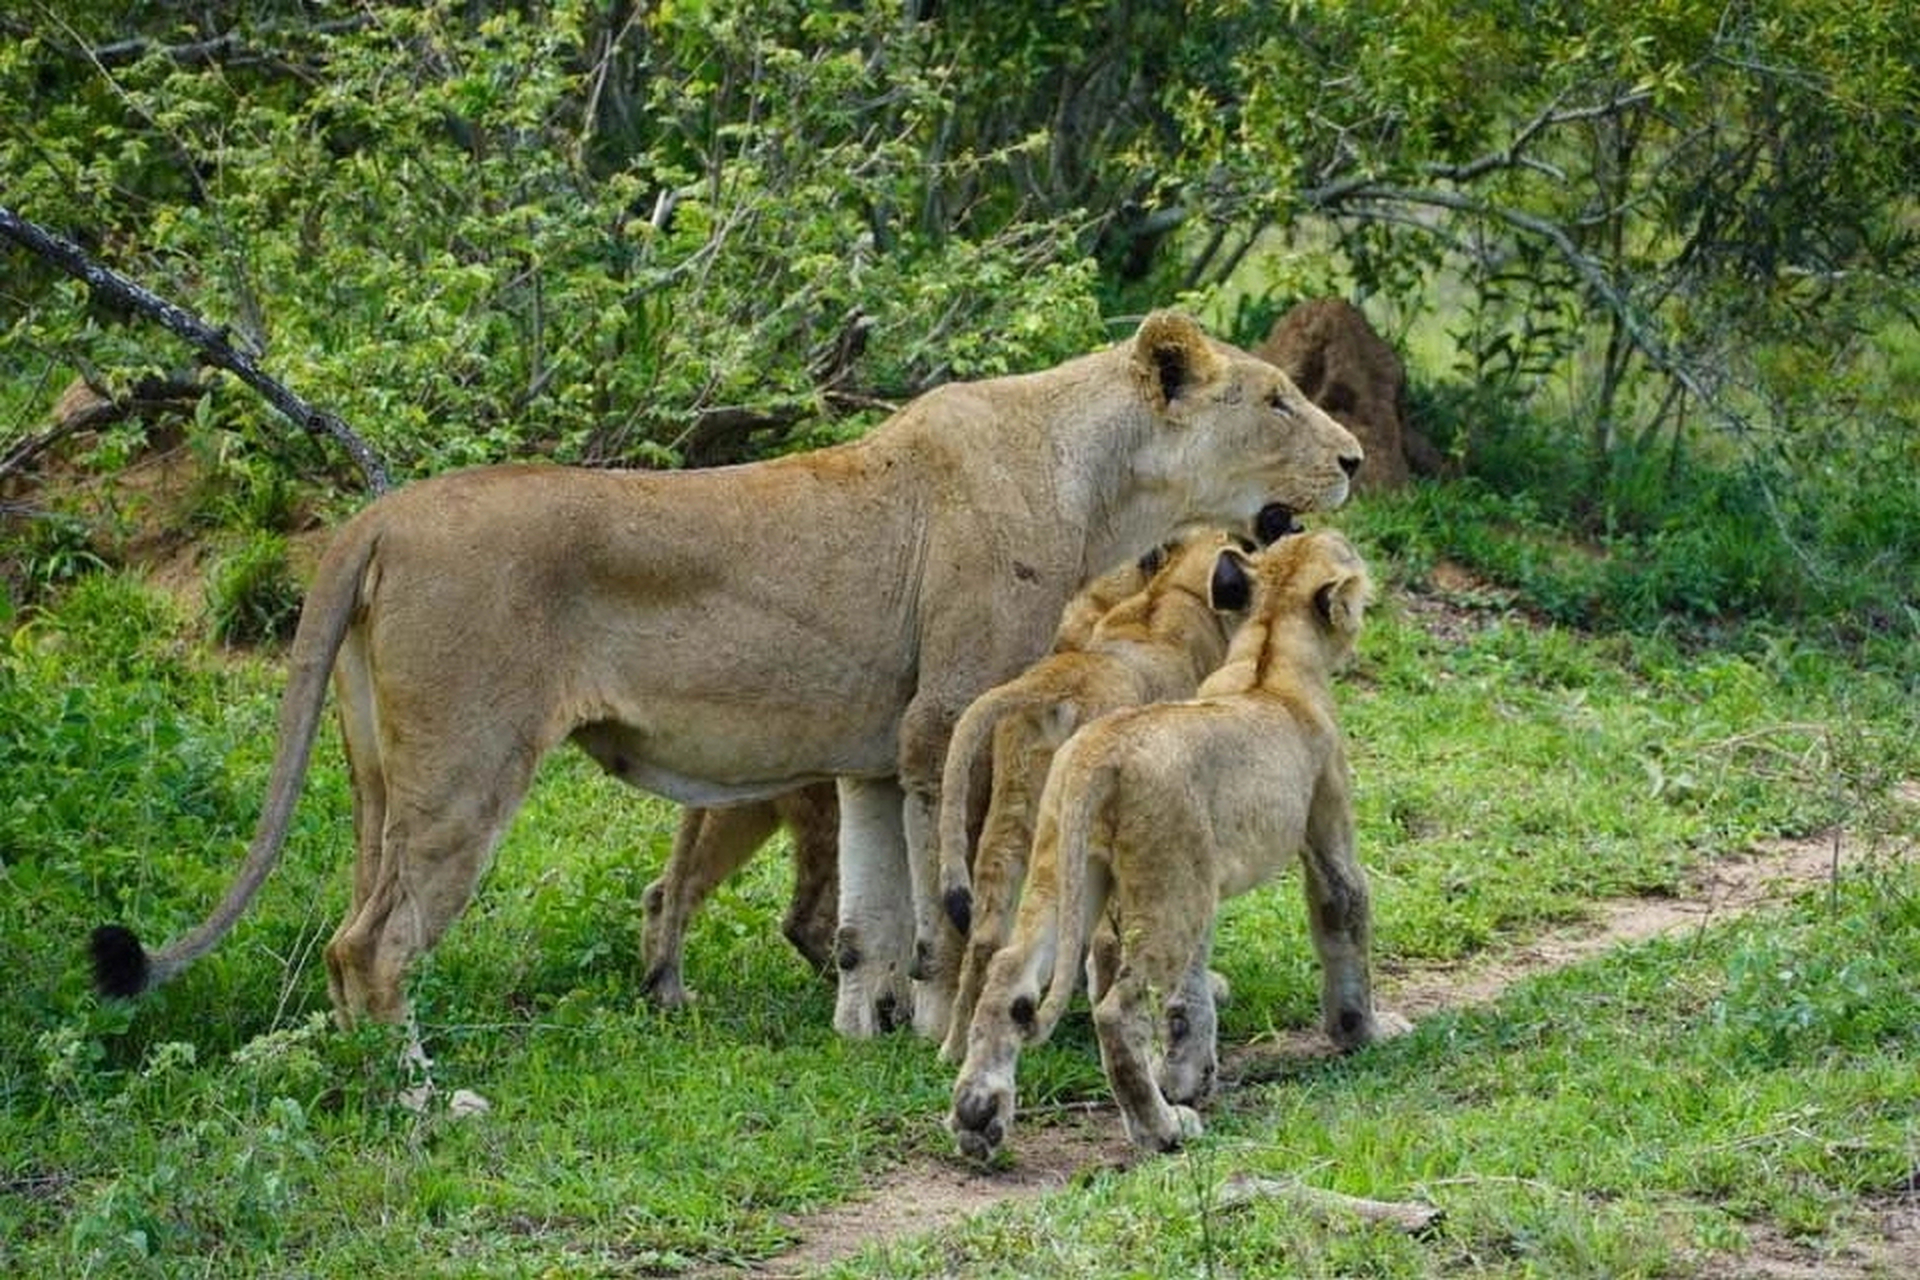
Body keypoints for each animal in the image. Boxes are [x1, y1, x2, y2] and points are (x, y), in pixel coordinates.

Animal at [952, 529, 1405, 1159]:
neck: (1268, 654)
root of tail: (1100, 756)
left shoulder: (1200, 881)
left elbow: (1190, 987)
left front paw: (1189, 1072)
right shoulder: (1325, 825)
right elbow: (1345, 919)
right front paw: (1366, 1032)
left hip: (1070, 870)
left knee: (1008, 973)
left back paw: (978, 1116)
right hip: (1161, 890)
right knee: (1116, 1008)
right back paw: (1160, 1128)